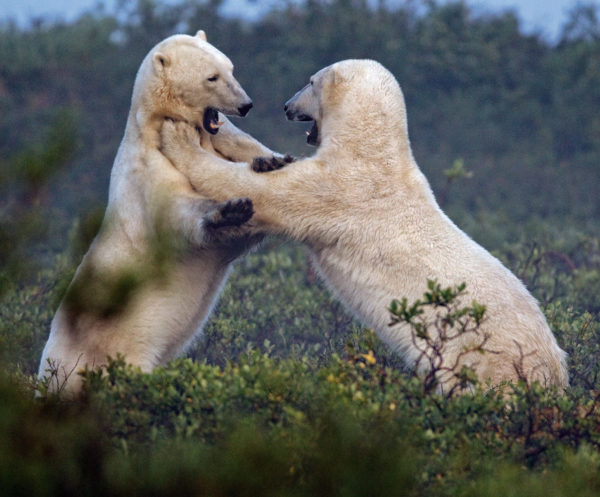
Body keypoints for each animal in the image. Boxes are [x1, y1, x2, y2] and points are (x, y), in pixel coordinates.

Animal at [38, 31, 284, 396]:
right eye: (212, 77)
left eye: (231, 68)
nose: (246, 105)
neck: (157, 123)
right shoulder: (147, 170)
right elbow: (177, 213)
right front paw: (230, 210)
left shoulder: (220, 139)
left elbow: (244, 151)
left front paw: (271, 161)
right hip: (92, 354)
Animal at [158, 59, 568, 392]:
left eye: (310, 82)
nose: (287, 106)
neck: (373, 150)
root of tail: (554, 372)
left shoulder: (340, 190)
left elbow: (264, 192)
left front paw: (177, 135)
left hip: (486, 358)